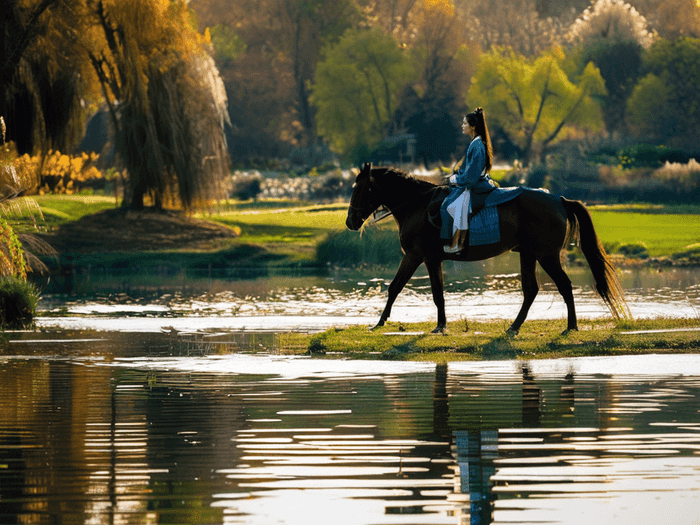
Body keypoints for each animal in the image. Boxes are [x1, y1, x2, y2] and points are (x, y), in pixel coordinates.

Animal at [344, 162, 628, 334]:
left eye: (359, 189)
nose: (350, 222)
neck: (417, 205)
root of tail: (558, 199)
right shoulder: (422, 258)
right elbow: (404, 289)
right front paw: (383, 322)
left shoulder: (421, 257)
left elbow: (425, 292)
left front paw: (436, 326)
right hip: (529, 254)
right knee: (531, 291)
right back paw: (515, 326)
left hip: (546, 256)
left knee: (565, 286)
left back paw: (571, 326)